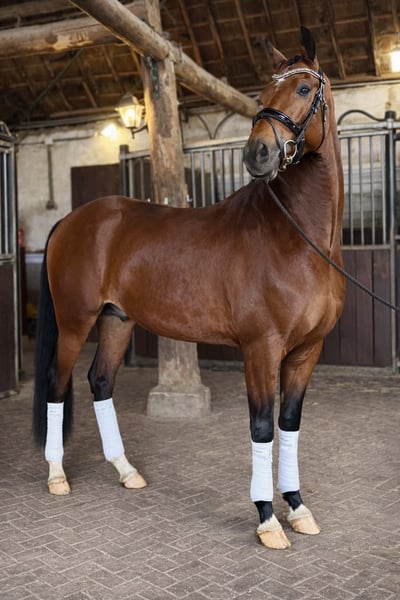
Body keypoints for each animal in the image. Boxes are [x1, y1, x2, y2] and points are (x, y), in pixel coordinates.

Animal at [33, 26, 345, 550]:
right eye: (262, 93)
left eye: (304, 89)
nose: (257, 154)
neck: (298, 237)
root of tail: (72, 220)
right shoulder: (261, 348)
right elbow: (262, 426)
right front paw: (267, 519)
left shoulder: (308, 351)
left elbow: (289, 424)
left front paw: (297, 508)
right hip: (75, 322)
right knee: (58, 383)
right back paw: (56, 475)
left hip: (116, 320)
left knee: (100, 381)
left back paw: (126, 471)